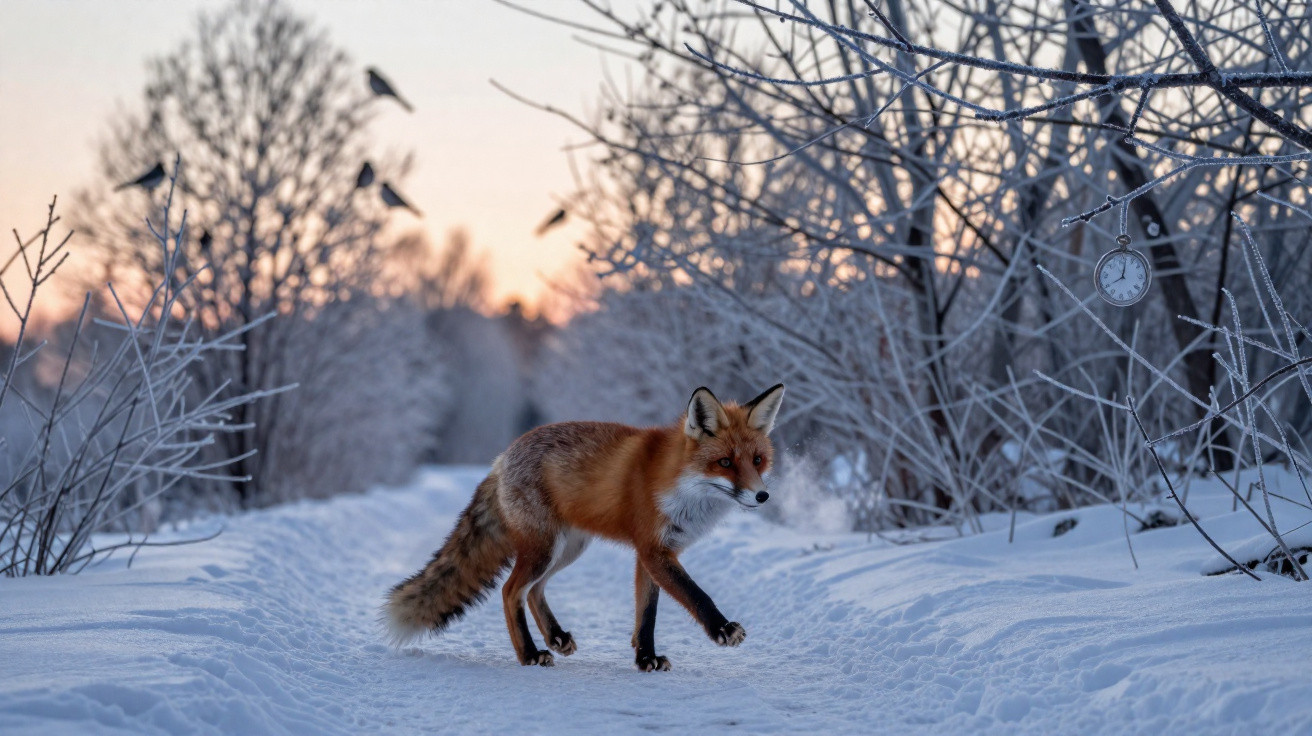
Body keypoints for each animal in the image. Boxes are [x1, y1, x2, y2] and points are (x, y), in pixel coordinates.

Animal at [384, 383, 785, 671]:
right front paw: (722, 629)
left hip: (567, 550)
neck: (681, 485)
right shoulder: (654, 551)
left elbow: (646, 614)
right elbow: (694, 594)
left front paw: (645, 659)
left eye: (757, 460)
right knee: (512, 591)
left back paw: (555, 638)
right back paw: (529, 655)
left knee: (534, 590)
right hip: (544, 549)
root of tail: (501, 459)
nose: (762, 496)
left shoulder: (652, 554)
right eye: (725, 462)